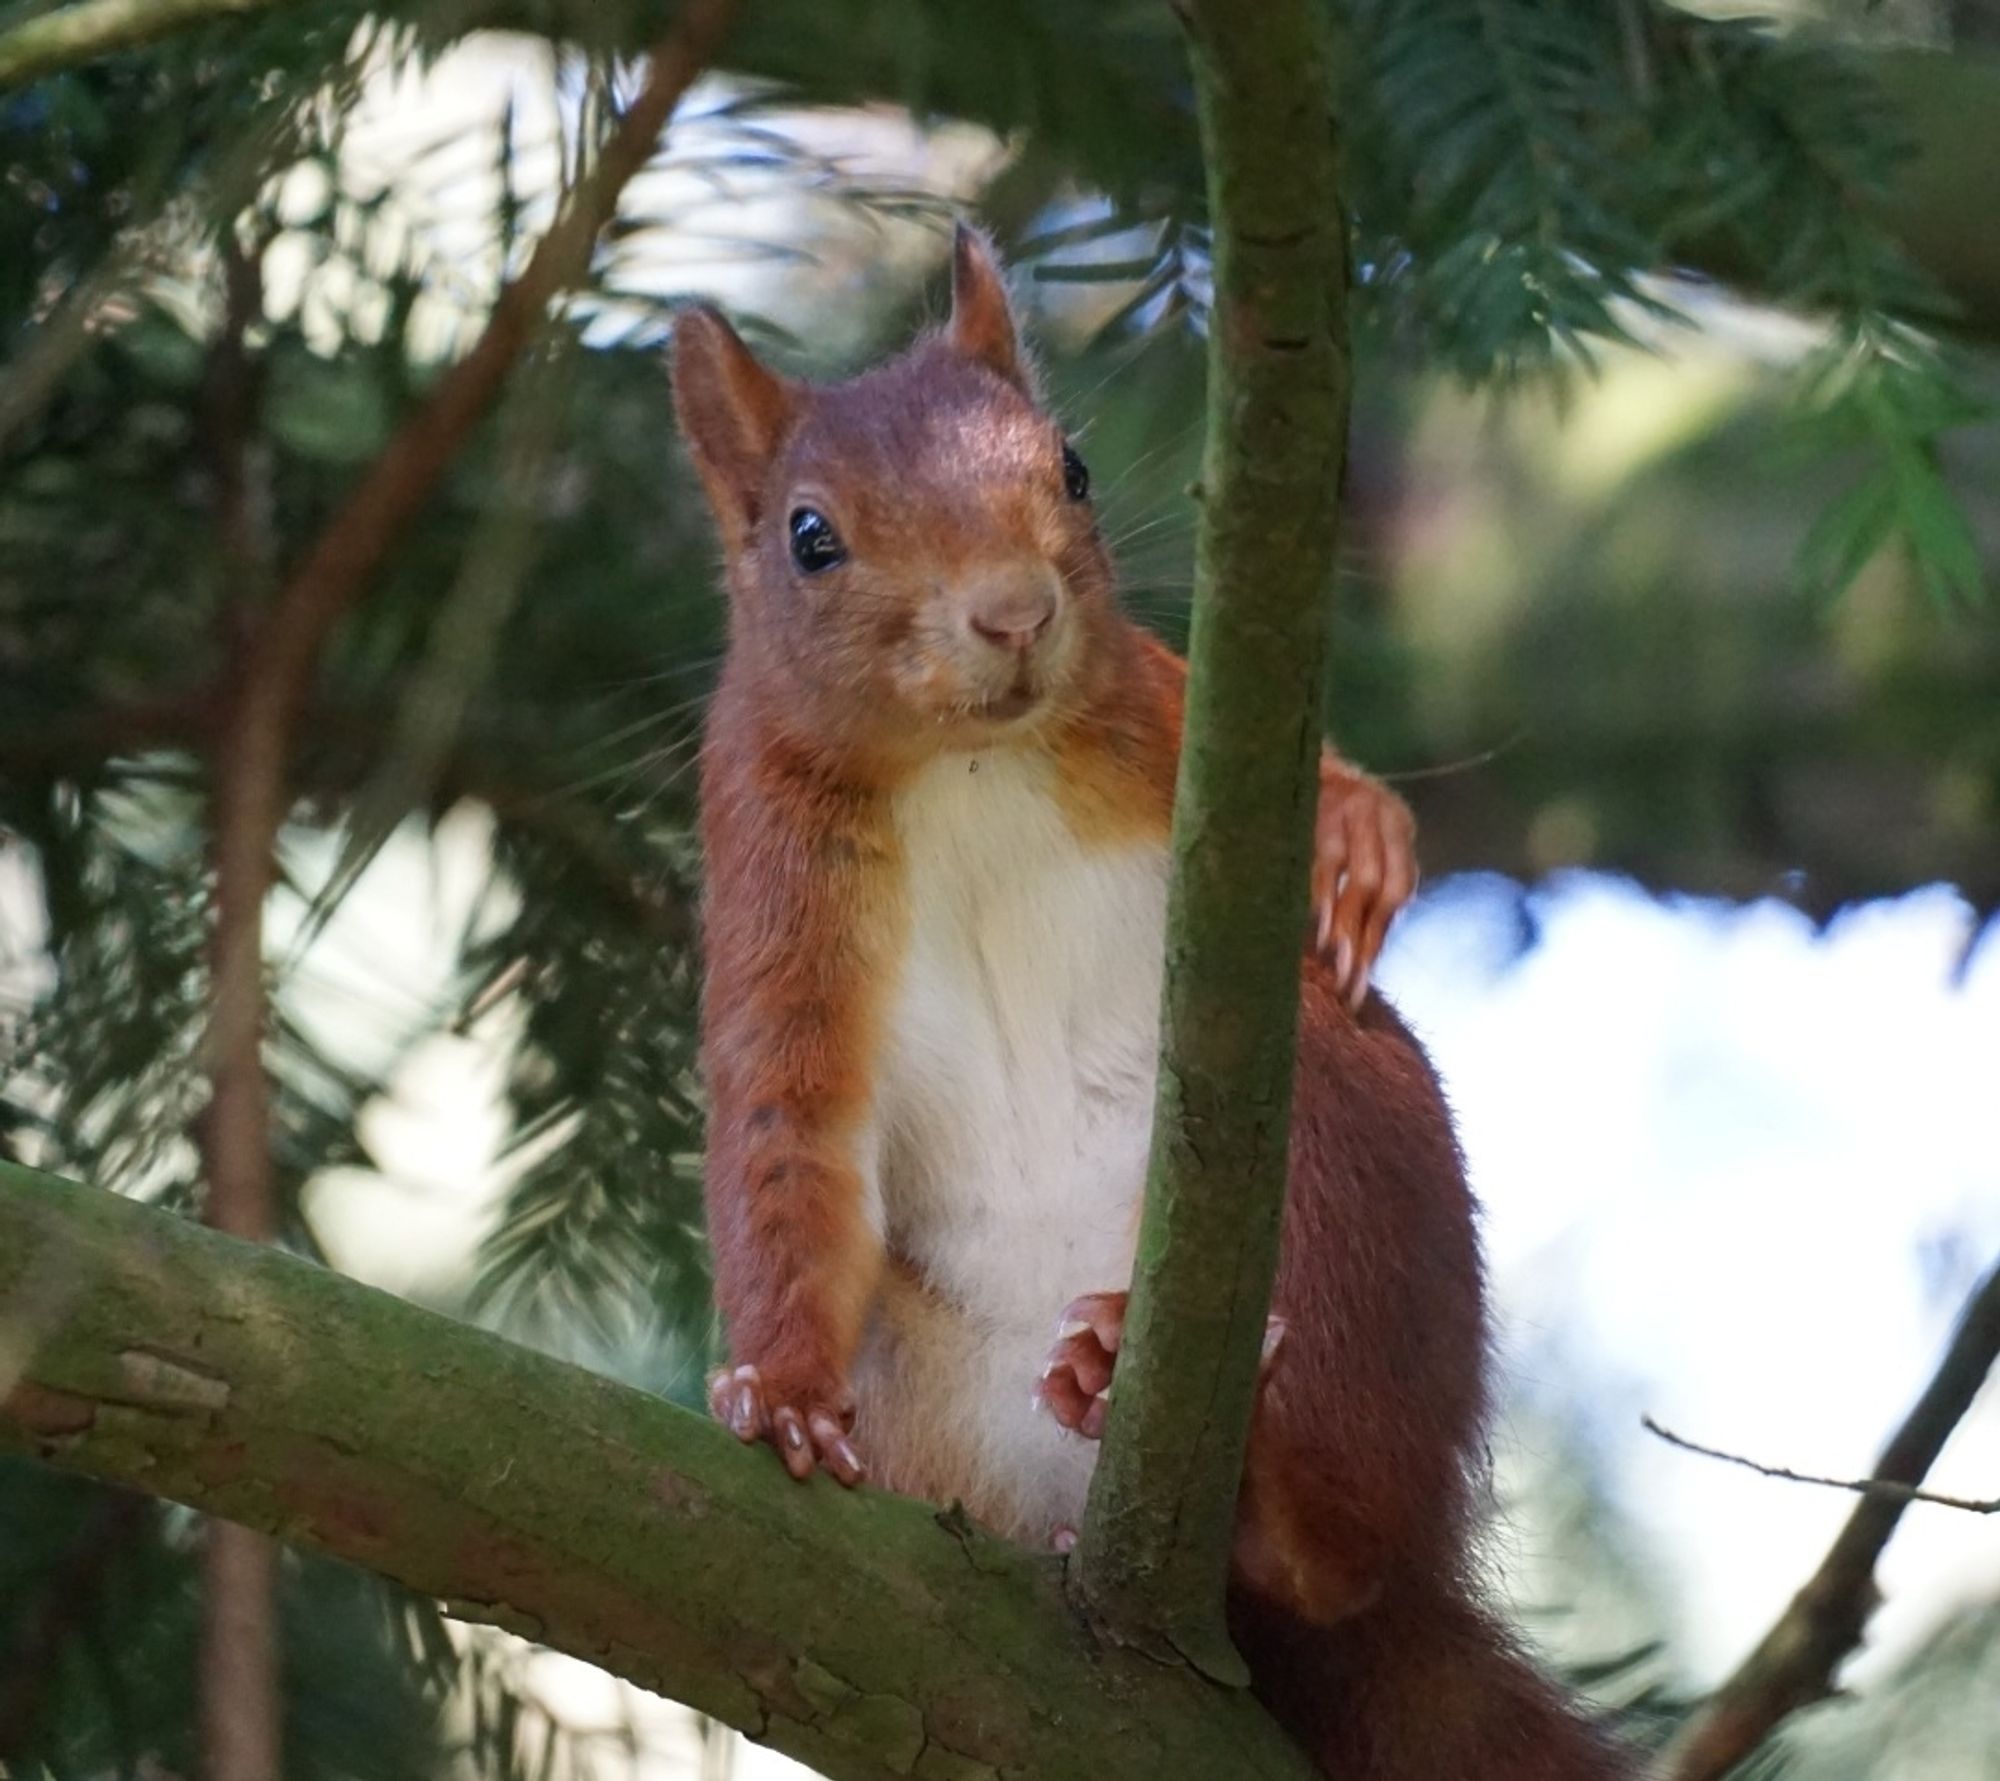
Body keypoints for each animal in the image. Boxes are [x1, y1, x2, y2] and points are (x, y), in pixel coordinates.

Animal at [672, 229, 1624, 1768]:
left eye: (1068, 466)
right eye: (810, 536)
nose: (1014, 614)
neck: (970, 761)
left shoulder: (1176, 714)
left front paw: (1357, 840)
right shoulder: (773, 886)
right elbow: (786, 1140)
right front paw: (776, 1392)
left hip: (1349, 1182)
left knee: (1340, 1554)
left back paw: (1267, 1495)